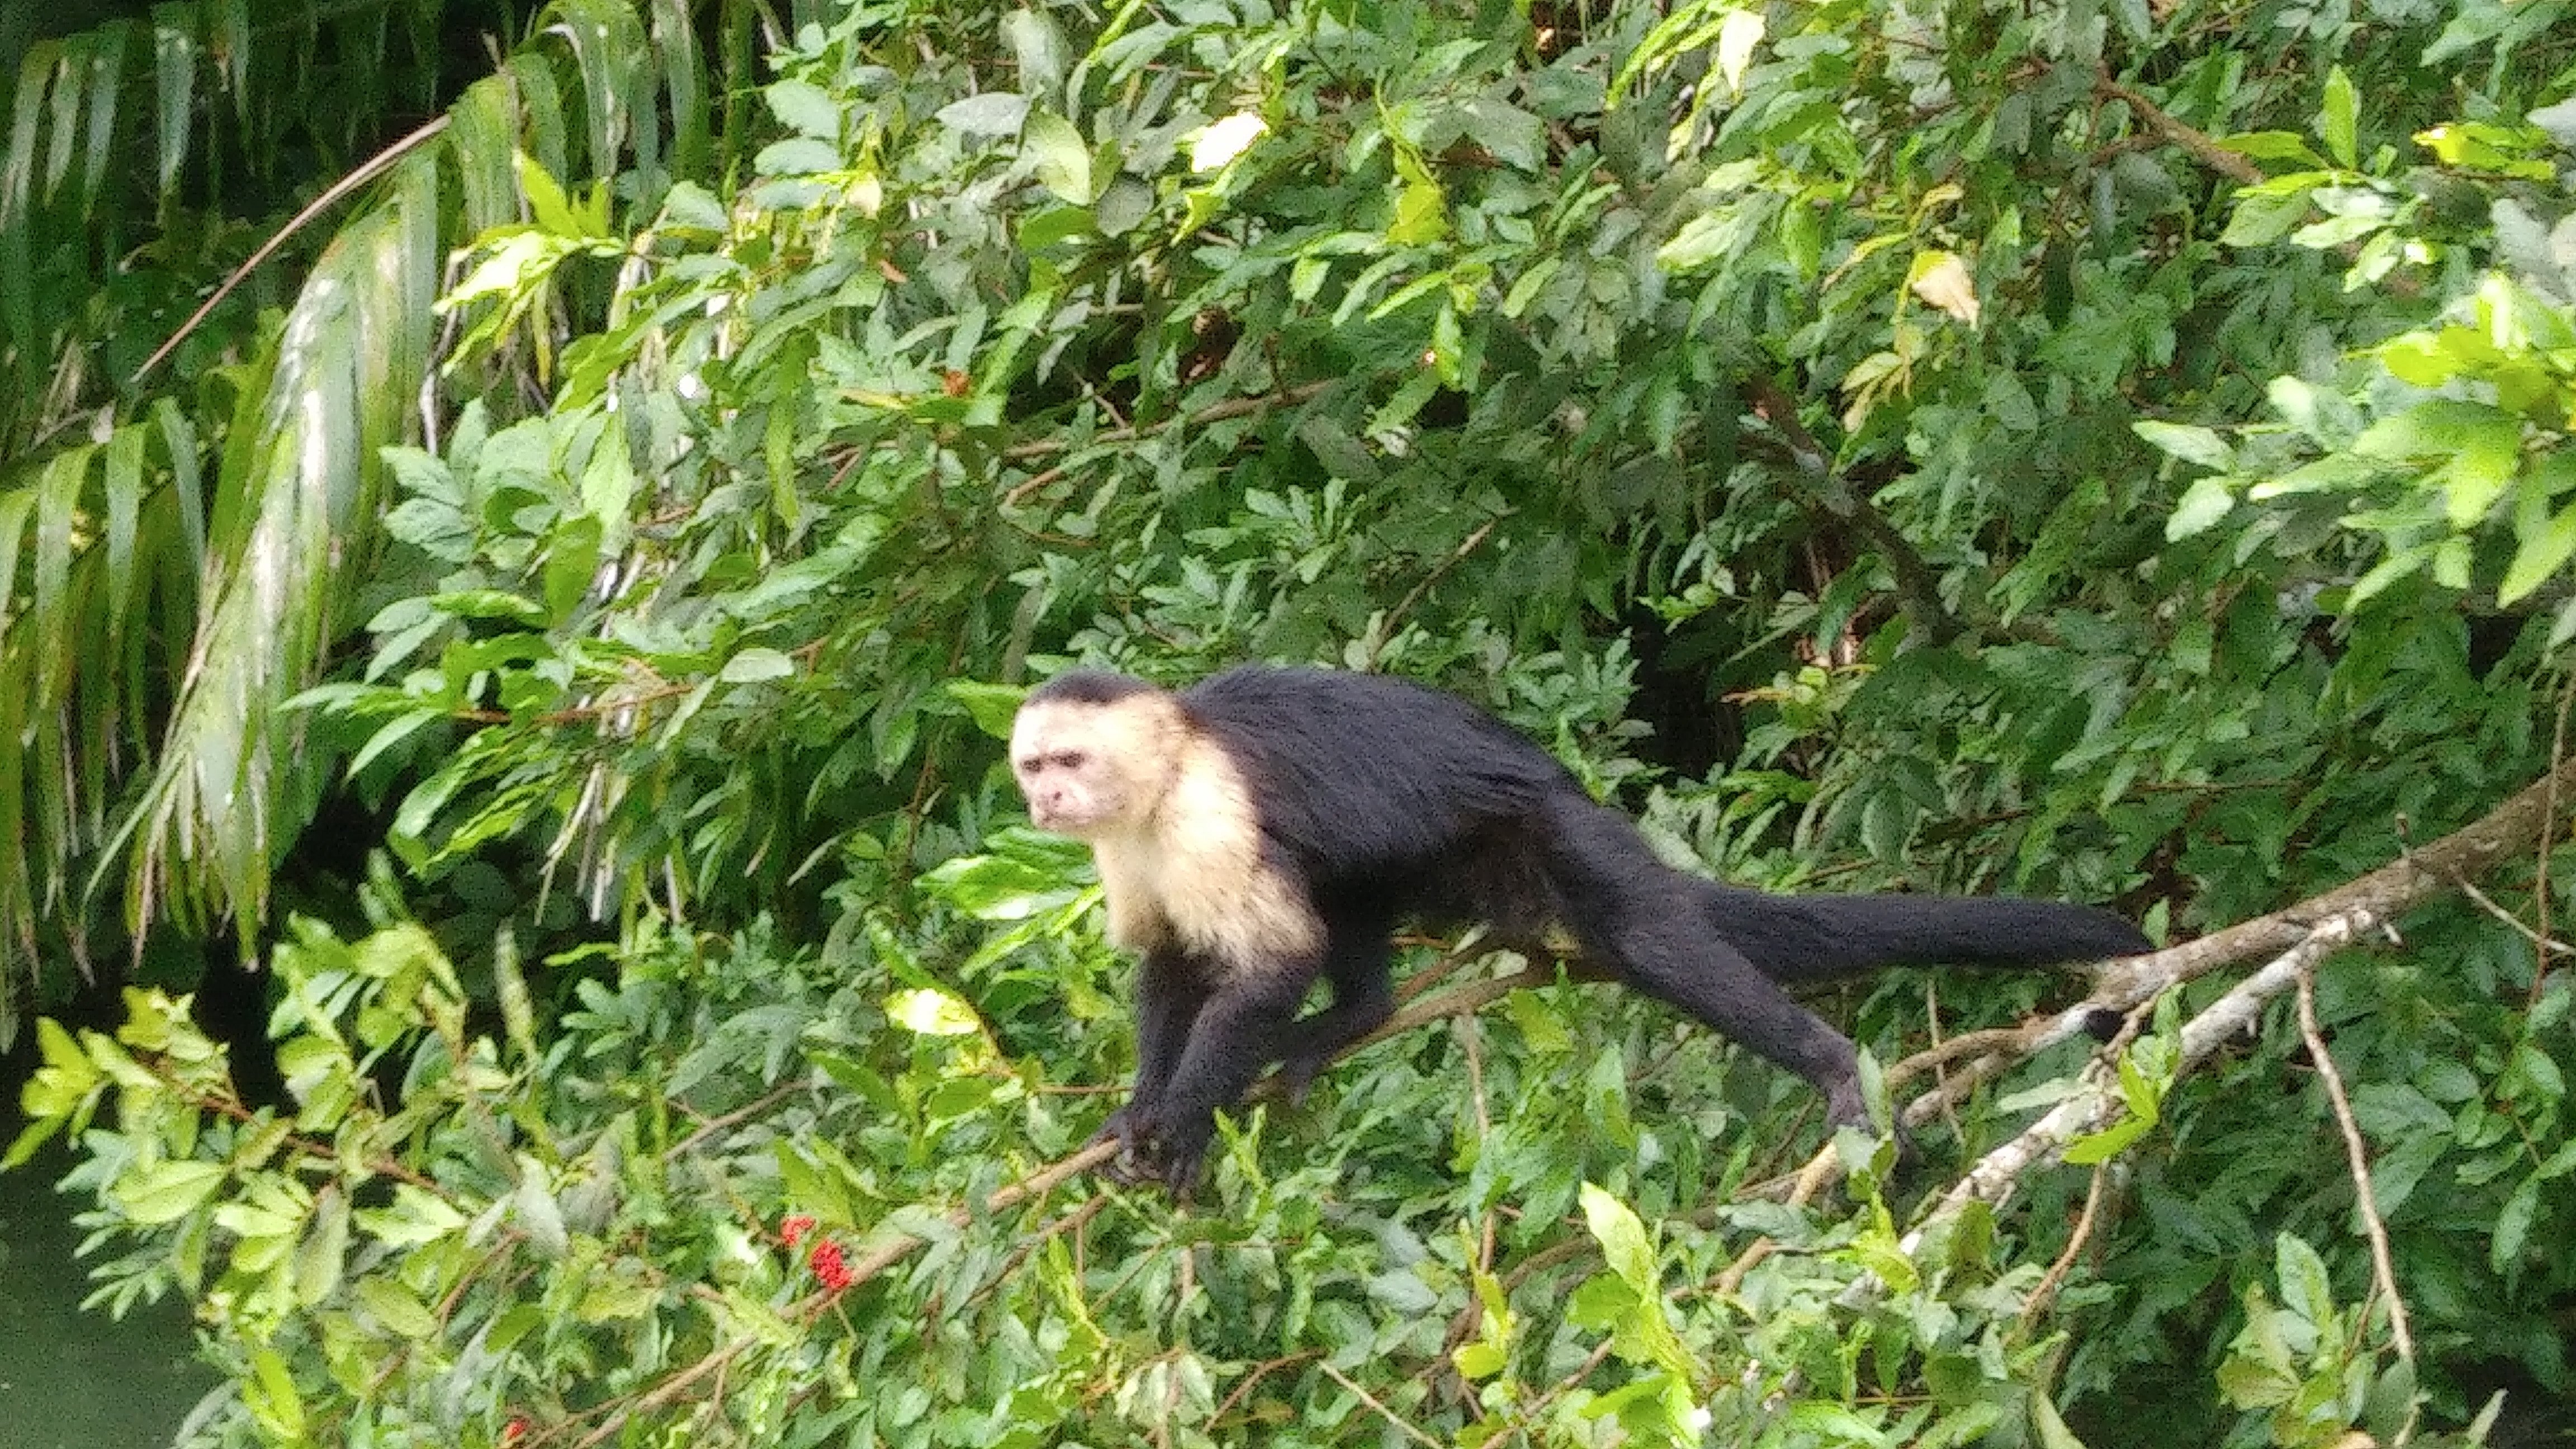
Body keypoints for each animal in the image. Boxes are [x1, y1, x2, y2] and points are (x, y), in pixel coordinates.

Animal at [1008, 664, 2152, 1195]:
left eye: (1069, 760)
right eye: (1034, 765)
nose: (1044, 801)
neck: (1163, 778)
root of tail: (1561, 784)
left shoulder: (1206, 812)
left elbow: (1268, 960)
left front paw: (1182, 1120)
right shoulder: (1129, 846)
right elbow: (1169, 965)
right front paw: (1136, 1114)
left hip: (1541, 834)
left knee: (1653, 939)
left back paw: (1831, 1063)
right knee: (1345, 881)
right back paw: (1359, 1014)